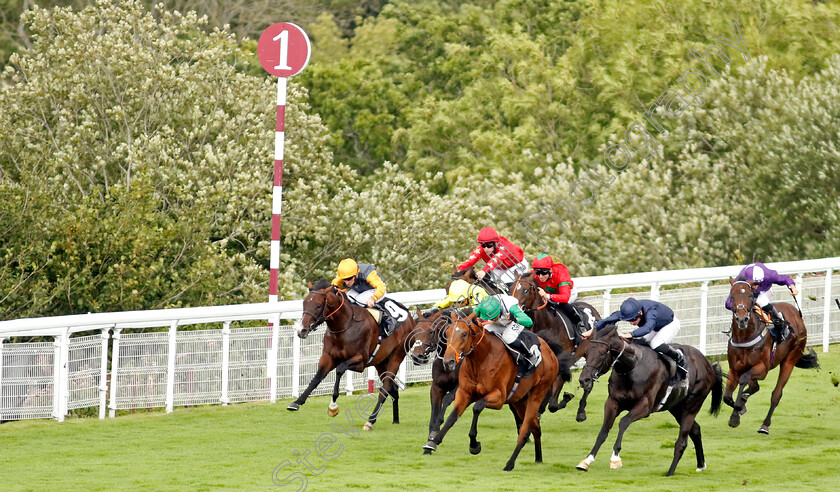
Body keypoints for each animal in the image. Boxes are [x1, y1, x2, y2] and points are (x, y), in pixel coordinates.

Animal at [288, 278, 416, 428]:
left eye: (318, 305)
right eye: (304, 303)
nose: (301, 331)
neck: (345, 325)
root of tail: (410, 317)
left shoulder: (361, 361)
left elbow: (339, 369)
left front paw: (333, 406)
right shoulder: (328, 357)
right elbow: (317, 378)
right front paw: (296, 402)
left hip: (397, 356)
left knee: (385, 388)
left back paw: (370, 421)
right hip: (381, 361)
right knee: (393, 387)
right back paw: (395, 420)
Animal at [430, 314, 560, 470]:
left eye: (464, 334)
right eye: (447, 334)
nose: (448, 362)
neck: (482, 359)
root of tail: (551, 353)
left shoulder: (499, 397)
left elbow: (477, 407)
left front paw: (474, 445)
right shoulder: (464, 393)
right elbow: (452, 416)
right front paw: (434, 440)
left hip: (538, 393)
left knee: (524, 430)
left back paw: (510, 464)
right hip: (520, 400)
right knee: (535, 426)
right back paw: (538, 458)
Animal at [508, 272, 600, 418]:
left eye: (526, 290)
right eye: (510, 289)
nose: (512, 312)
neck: (546, 324)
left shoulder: (561, 359)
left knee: (588, 381)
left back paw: (580, 412)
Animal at [576, 326, 720, 476]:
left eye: (602, 353)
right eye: (586, 353)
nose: (584, 380)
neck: (632, 367)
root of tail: (708, 365)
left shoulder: (645, 406)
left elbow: (623, 422)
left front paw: (615, 458)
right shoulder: (613, 402)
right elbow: (603, 431)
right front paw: (586, 461)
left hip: (691, 406)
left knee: (682, 442)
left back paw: (670, 472)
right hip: (676, 408)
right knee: (695, 430)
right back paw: (701, 465)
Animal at [724, 278, 816, 432]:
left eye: (750, 295)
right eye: (732, 296)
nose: (742, 319)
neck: (745, 336)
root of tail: (797, 314)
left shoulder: (762, 368)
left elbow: (744, 380)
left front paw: (736, 414)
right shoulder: (734, 369)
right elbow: (726, 397)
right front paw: (740, 407)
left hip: (790, 360)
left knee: (776, 394)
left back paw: (765, 425)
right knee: (755, 387)